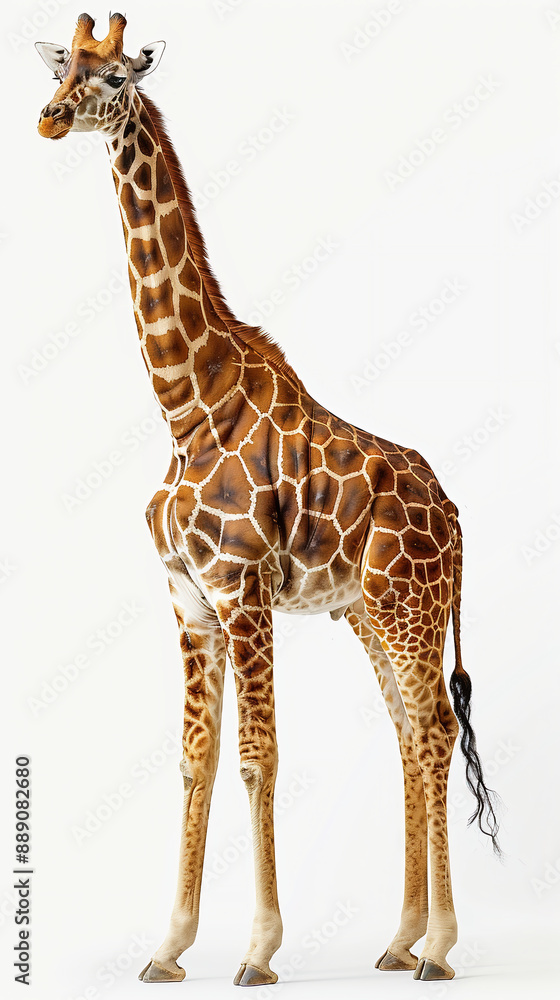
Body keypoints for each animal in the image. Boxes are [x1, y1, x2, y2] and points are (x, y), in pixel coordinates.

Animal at [36, 14, 500, 986]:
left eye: (113, 79)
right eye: (61, 69)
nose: (49, 120)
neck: (185, 404)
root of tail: (456, 518)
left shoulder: (244, 592)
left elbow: (258, 758)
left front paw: (257, 949)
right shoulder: (187, 598)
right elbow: (194, 760)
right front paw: (168, 948)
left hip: (407, 607)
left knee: (435, 725)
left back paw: (440, 947)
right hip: (371, 612)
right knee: (410, 732)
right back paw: (401, 939)